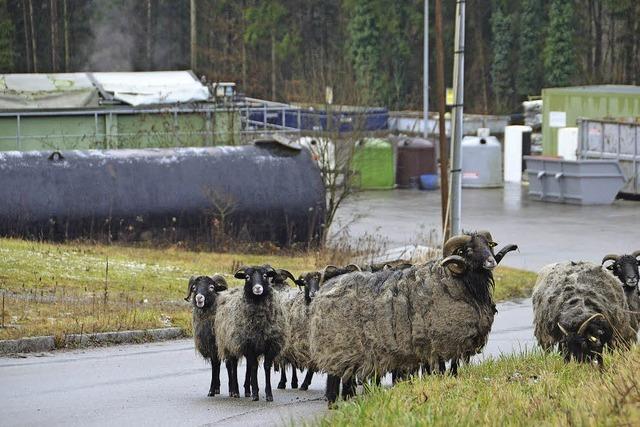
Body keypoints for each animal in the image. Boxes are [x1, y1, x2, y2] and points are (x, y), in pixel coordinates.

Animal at [215, 266, 284, 402]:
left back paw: (247, 390)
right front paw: (256, 394)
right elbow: (254, 367)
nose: (257, 288)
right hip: (231, 344)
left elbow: (265, 367)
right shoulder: (248, 344)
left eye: (265, 275)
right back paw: (235, 391)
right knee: (233, 366)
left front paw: (268, 394)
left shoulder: (270, 345)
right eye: (247, 277)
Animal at [308, 232, 516, 406]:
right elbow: (444, 368)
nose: (491, 261)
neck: (456, 281)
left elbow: (452, 367)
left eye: (489, 245)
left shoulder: (450, 343)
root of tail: (325, 289)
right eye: (469, 250)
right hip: (338, 346)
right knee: (334, 377)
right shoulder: (441, 341)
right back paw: (334, 402)